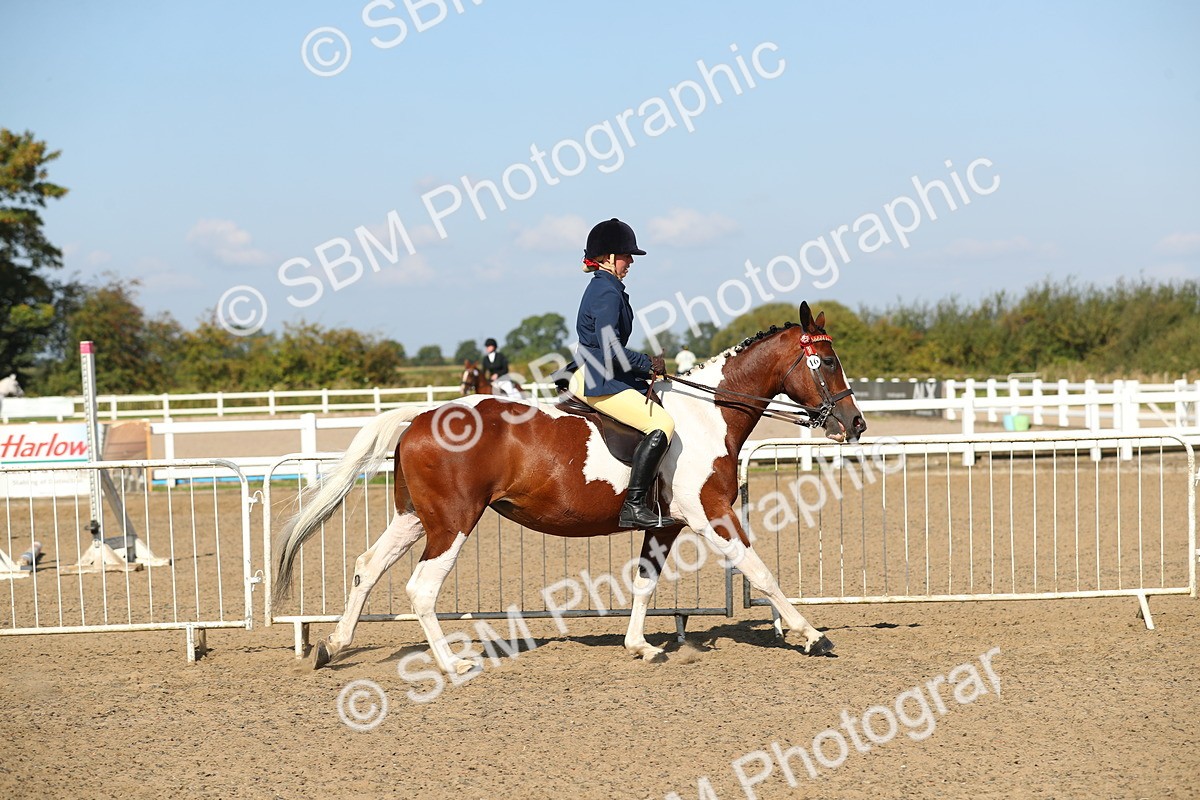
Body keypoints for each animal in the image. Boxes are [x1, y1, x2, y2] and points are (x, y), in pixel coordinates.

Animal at [274, 302, 866, 674]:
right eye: (828, 361)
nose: (854, 425)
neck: (707, 415)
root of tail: (420, 417)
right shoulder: (712, 514)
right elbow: (761, 572)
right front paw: (814, 637)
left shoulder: (668, 524)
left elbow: (645, 582)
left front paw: (640, 647)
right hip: (453, 522)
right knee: (422, 587)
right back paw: (451, 663)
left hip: (415, 517)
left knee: (366, 567)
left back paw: (332, 646)